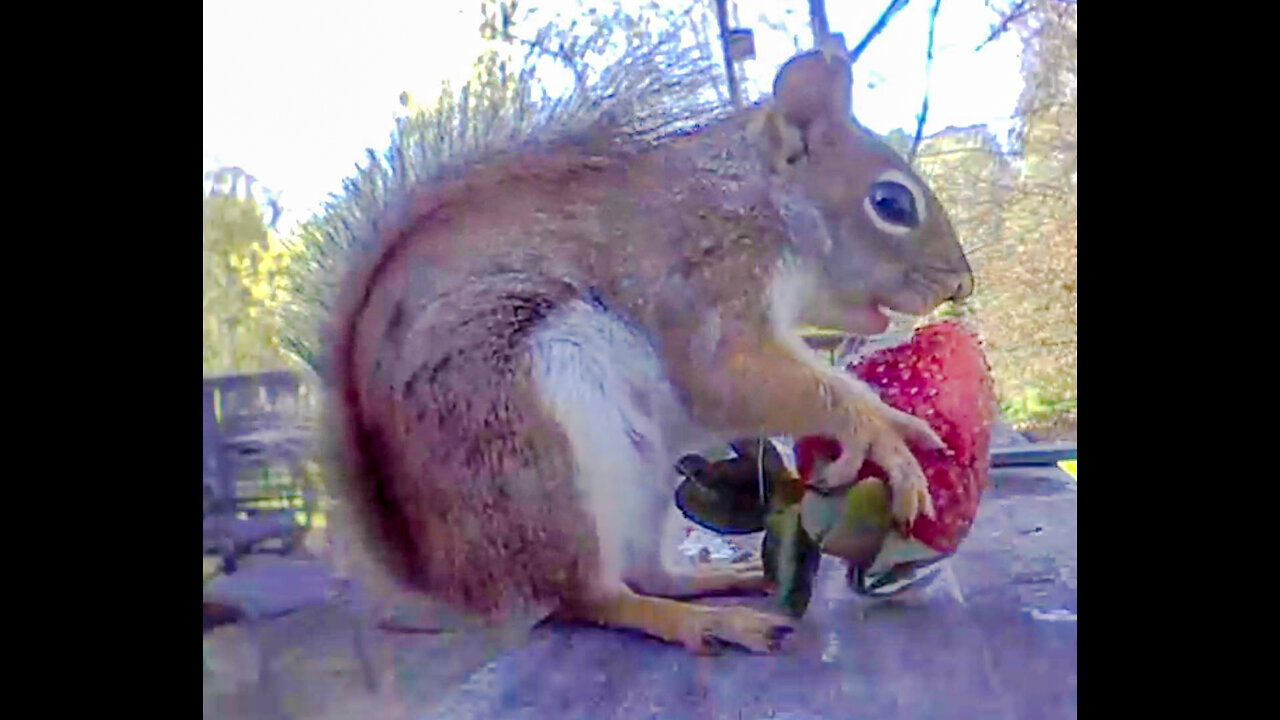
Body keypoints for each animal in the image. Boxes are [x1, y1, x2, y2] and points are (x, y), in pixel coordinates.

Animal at [327, 40, 967, 655]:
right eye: (891, 204)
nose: (962, 285)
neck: (758, 202)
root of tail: (449, 578)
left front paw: (891, 418)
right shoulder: (700, 281)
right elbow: (731, 380)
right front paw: (885, 439)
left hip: (644, 478)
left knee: (646, 573)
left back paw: (715, 580)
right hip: (532, 450)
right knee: (591, 595)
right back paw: (707, 623)